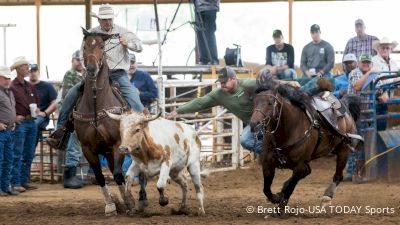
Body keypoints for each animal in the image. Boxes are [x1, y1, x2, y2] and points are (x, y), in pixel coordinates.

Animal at [73, 28, 145, 216]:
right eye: (85, 46)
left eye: (101, 46)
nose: (92, 68)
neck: (97, 104)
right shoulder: (87, 148)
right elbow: (100, 176)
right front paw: (111, 205)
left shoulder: (117, 144)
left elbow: (119, 175)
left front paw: (129, 203)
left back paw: (140, 200)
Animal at [250, 78, 360, 218]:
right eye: (255, 101)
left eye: (270, 102)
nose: (254, 124)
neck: (289, 130)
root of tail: (344, 104)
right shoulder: (268, 162)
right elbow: (267, 188)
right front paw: (277, 198)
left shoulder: (300, 165)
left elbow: (291, 186)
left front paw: (280, 206)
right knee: (308, 172)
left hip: (343, 150)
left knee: (338, 176)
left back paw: (326, 197)